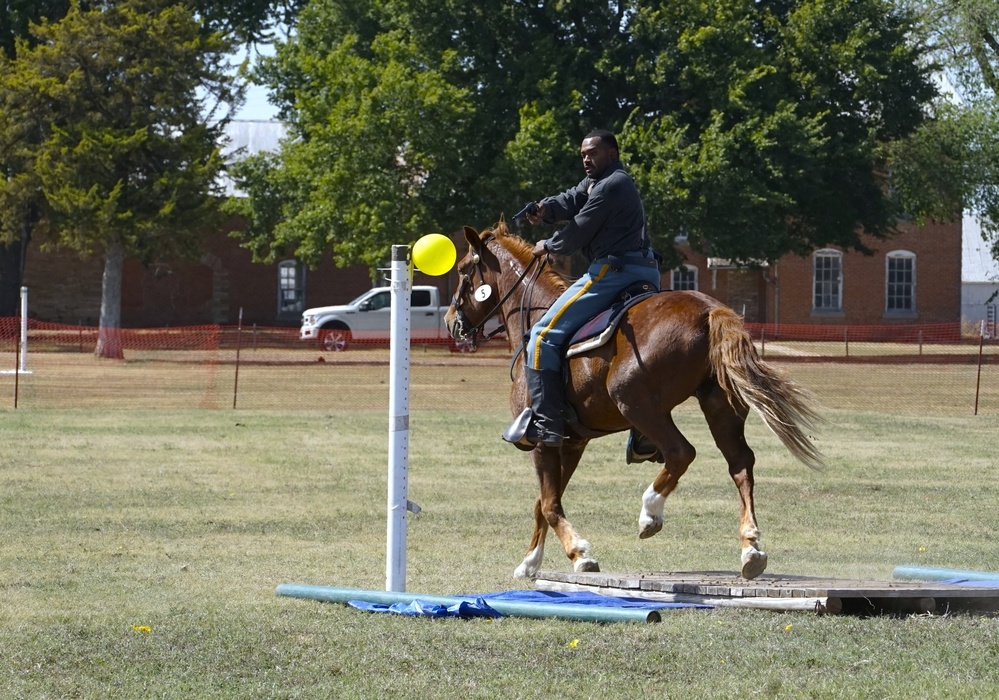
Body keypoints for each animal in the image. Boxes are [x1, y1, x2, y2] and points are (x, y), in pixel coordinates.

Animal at [444, 220, 820, 580]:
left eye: (463, 269)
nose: (450, 321)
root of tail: (710, 312)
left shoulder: (543, 442)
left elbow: (549, 503)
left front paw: (579, 554)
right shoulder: (572, 443)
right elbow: (544, 502)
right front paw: (530, 562)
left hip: (638, 404)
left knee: (681, 453)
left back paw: (650, 512)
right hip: (719, 407)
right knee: (740, 465)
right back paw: (751, 549)